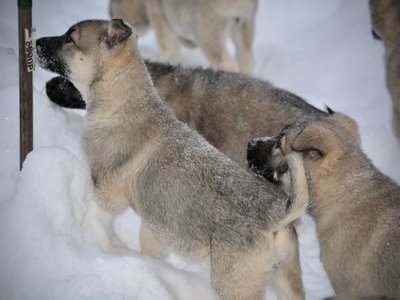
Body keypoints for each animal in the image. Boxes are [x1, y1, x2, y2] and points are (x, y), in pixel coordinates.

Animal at [36, 19, 310, 300]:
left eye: (70, 38)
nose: (35, 42)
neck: (123, 103)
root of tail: (278, 216)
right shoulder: (152, 221)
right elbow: (150, 245)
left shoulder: (108, 192)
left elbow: (95, 218)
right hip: (287, 279)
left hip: (235, 284)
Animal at [110, 0, 260, 72]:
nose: (110, 13)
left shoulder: (158, 10)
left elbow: (166, 39)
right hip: (246, 20)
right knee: (246, 53)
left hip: (208, 22)